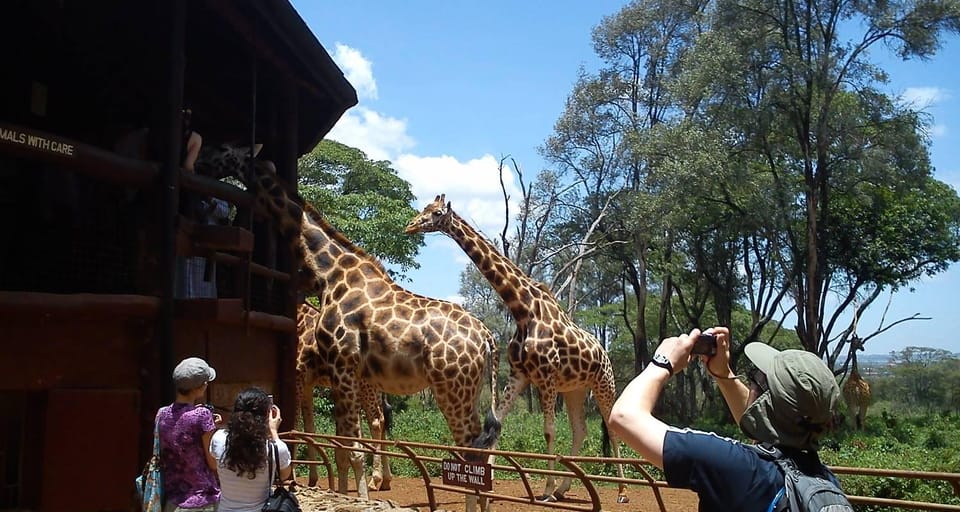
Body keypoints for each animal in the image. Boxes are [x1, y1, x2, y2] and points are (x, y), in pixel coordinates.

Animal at [296, 302, 394, 498]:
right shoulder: (307, 384)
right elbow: (309, 427)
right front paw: (312, 480)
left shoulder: (298, 378)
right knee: (381, 418)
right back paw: (386, 480)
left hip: (366, 385)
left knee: (376, 420)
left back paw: (375, 479)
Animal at [404, 194, 632, 502]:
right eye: (425, 208)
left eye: (437, 213)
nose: (410, 225)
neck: (524, 310)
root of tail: (604, 353)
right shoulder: (519, 374)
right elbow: (496, 424)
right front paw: (487, 482)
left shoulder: (546, 377)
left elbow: (548, 430)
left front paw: (544, 490)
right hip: (575, 389)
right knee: (580, 430)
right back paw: (564, 488)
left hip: (604, 383)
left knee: (610, 427)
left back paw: (621, 491)